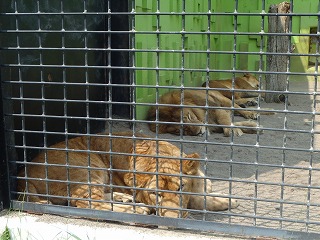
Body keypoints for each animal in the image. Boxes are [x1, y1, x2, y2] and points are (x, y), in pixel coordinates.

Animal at [16, 132, 238, 218]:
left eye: (181, 187)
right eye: (155, 194)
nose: (172, 218)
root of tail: (23, 172)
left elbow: (202, 194)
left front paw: (227, 199)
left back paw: (122, 197)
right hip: (89, 166)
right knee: (89, 203)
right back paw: (136, 209)